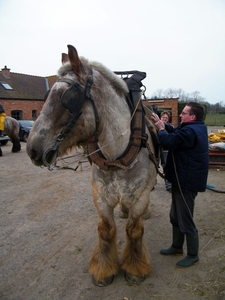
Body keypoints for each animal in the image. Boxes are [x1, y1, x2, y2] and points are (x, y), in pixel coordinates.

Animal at [26, 44, 158, 286]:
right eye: (46, 96)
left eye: (68, 98)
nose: (33, 149)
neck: (116, 153)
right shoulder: (100, 195)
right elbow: (105, 229)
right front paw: (104, 269)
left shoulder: (140, 195)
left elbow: (134, 229)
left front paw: (135, 269)